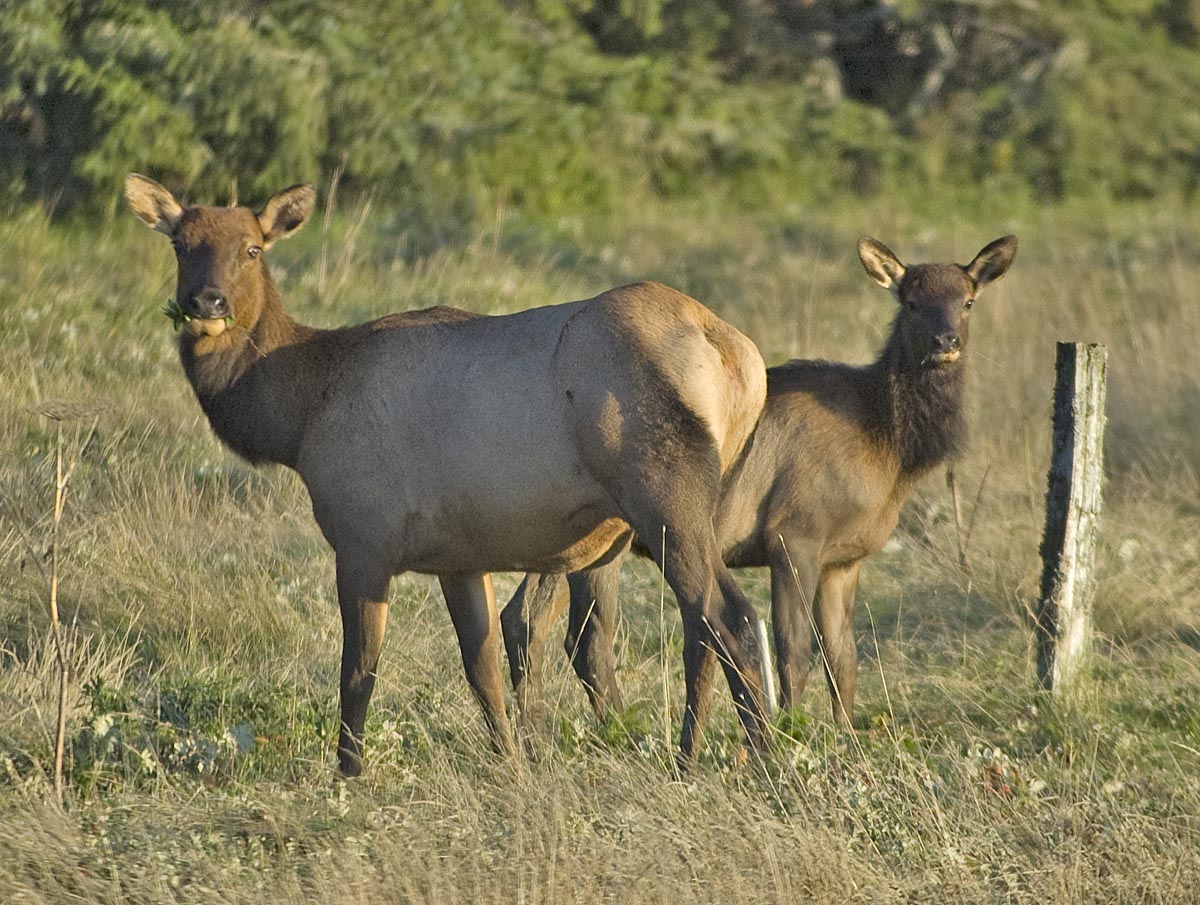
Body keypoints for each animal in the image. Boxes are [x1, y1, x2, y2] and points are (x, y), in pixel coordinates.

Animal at [124, 174, 770, 775]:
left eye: (253, 248)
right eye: (181, 243)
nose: (207, 303)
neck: (298, 413)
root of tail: (735, 355)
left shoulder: (362, 537)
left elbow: (358, 670)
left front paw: (349, 771)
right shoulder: (460, 557)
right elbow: (481, 669)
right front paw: (511, 763)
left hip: (663, 492)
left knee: (728, 617)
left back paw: (759, 758)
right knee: (693, 629)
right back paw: (698, 755)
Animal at [502, 235, 1017, 733]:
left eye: (967, 300)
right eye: (911, 301)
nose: (946, 340)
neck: (889, 447)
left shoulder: (844, 559)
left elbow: (844, 660)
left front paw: (846, 740)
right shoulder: (794, 533)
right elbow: (794, 651)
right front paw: (792, 729)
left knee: (529, 618)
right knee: (575, 632)